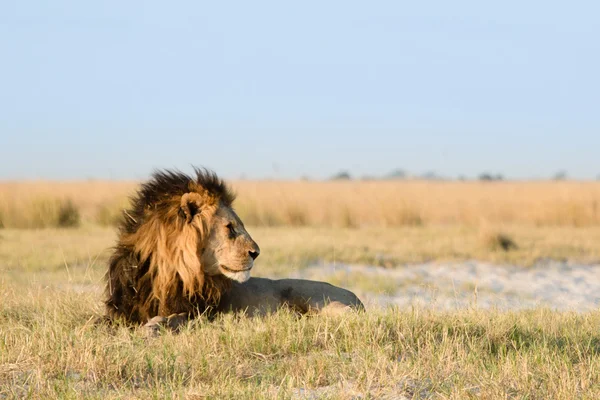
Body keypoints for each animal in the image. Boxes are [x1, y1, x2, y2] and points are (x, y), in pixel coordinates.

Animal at [105, 166, 364, 328]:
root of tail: (357, 297)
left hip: (315, 296)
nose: (256, 253)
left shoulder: (203, 313)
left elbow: (176, 318)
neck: (167, 272)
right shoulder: (120, 311)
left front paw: (154, 326)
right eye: (230, 227)